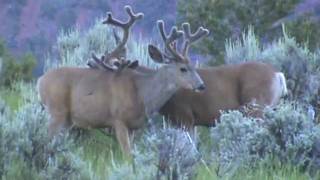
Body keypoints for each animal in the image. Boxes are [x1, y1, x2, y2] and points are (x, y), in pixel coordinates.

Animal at [37, 5, 210, 155]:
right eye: (183, 68)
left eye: (193, 66)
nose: (201, 85)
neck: (142, 94)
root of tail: (40, 81)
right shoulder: (118, 119)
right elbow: (127, 155)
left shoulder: (134, 126)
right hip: (56, 110)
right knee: (45, 138)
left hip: (66, 119)